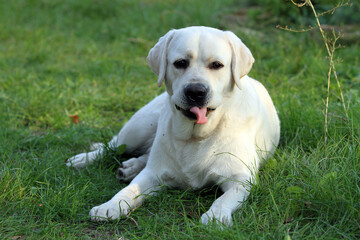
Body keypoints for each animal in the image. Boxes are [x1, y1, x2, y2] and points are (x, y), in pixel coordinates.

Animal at [67, 26, 282, 227]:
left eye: (217, 65)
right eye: (180, 63)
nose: (196, 91)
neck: (196, 135)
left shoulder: (241, 178)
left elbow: (223, 199)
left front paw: (215, 216)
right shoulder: (153, 174)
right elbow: (130, 190)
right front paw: (110, 205)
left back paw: (130, 167)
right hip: (138, 128)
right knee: (113, 145)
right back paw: (85, 159)